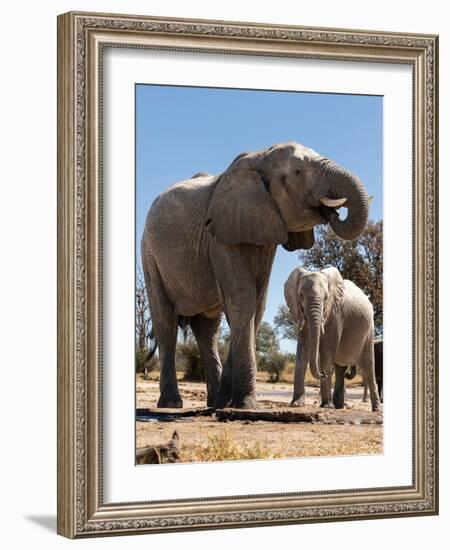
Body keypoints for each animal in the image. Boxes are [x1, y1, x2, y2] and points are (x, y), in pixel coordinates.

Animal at [142, 142, 370, 410]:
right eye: (298, 173)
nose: (332, 212)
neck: (259, 157)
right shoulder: (219, 235)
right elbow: (244, 299)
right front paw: (246, 406)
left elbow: (257, 304)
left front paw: (228, 403)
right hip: (149, 254)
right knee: (165, 321)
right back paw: (171, 404)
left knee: (207, 330)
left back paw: (213, 402)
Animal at [284, 268, 380, 414]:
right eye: (300, 295)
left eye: (326, 297)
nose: (322, 374)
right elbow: (302, 351)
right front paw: (296, 404)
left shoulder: (336, 314)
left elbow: (327, 352)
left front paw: (326, 406)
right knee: (340, 368)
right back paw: (339, 406)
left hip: (370, 331)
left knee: (369, 367)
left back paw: (376, 409)